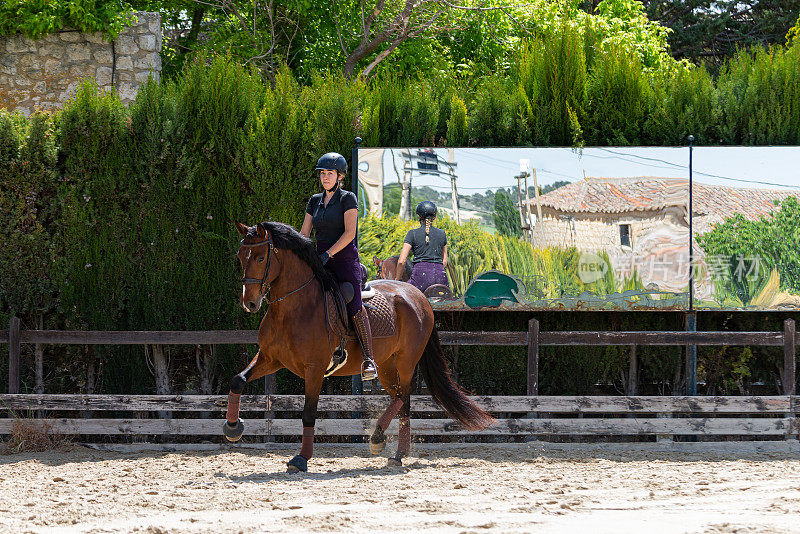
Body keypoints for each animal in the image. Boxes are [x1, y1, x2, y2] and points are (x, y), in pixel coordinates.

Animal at [222, 222, 490, 474]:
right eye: (240, 256)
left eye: (260, 258)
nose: (250, 303)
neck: (292, 308)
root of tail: (419, 295)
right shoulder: (270, 359)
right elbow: (237, 380)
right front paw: (233, 427)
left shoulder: (315, 369)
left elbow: (308, 413)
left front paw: (301, 459)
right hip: (386, 366)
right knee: (400, 400)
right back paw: (395, 452)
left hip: (406, 362)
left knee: (403, 396)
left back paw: (381, 440)